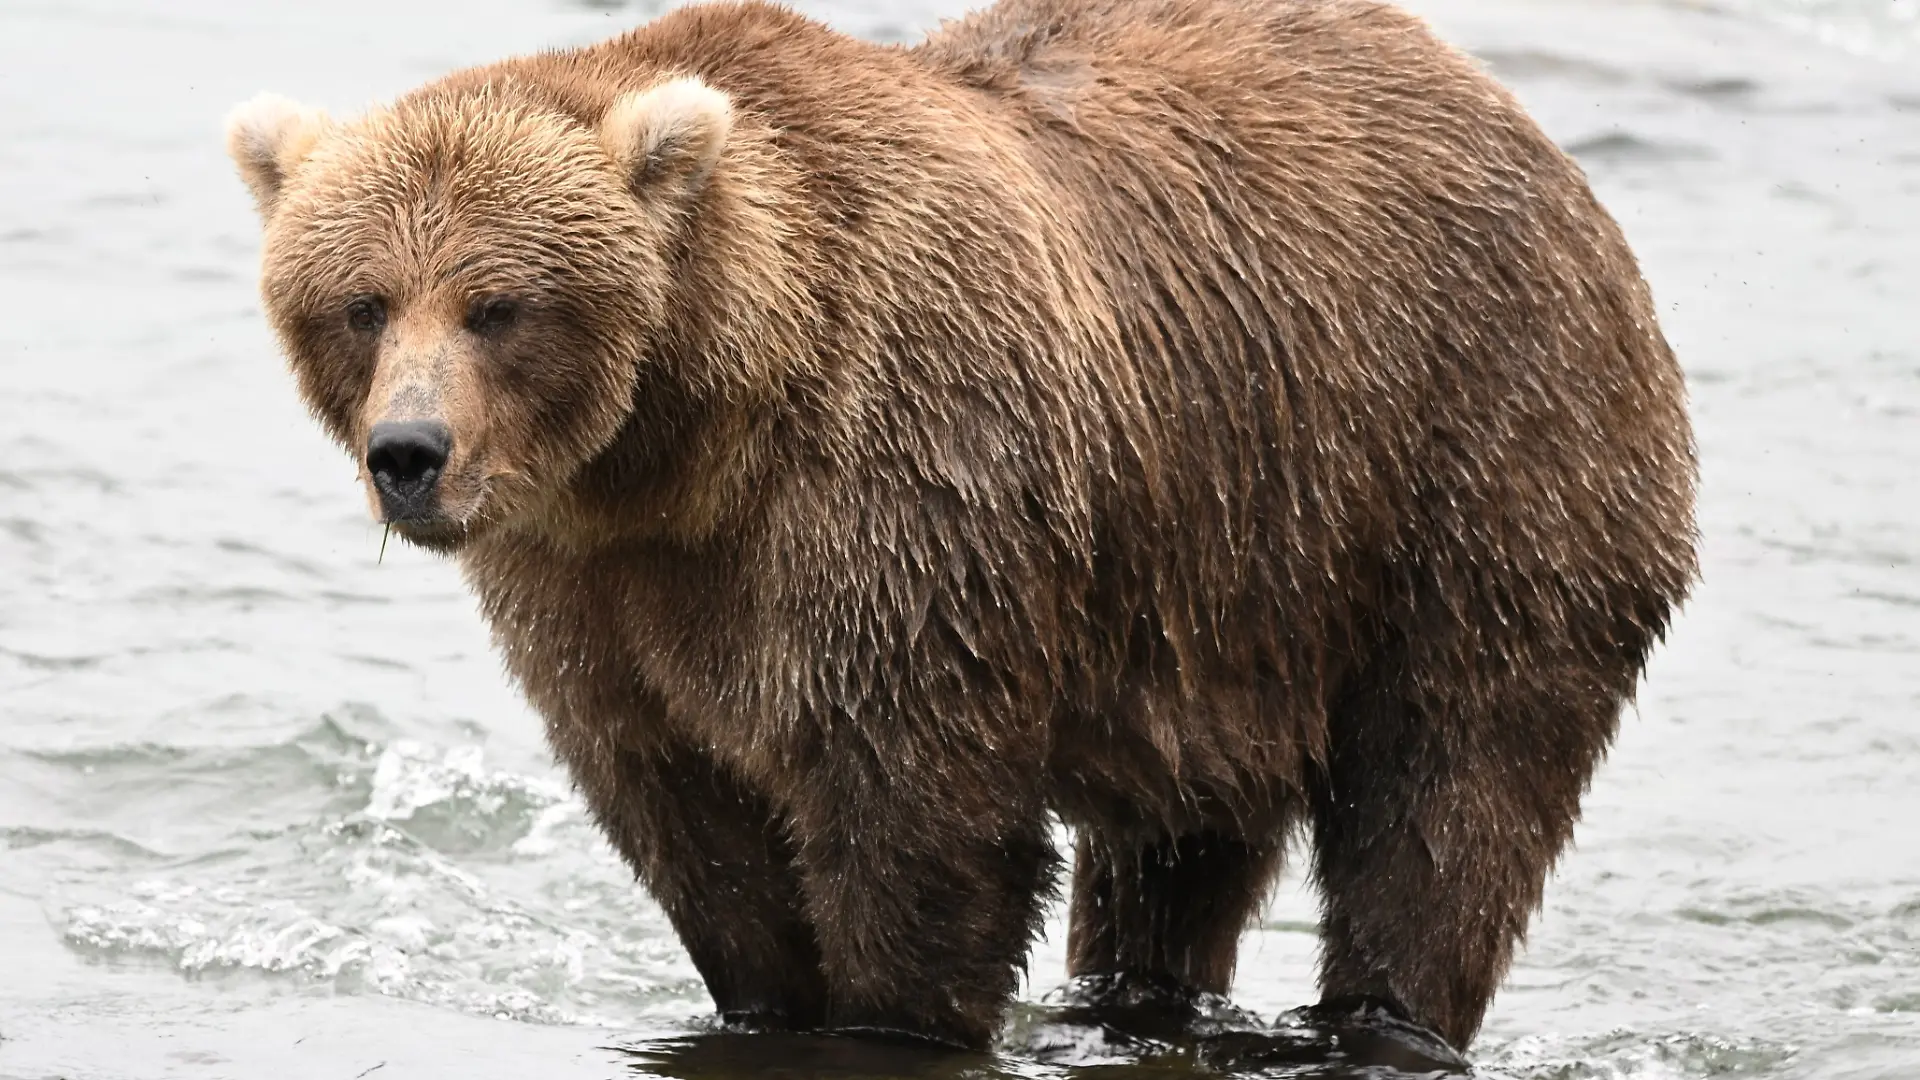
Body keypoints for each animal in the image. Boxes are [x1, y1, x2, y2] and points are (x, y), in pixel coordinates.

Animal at [225, 0, 1698, 1053]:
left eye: (498, 305)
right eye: (362, 300)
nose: (410, 455)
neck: (689, 444)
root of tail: (1519, 120)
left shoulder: (901, 491)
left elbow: (916, 818)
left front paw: (891, 1009)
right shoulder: (593, 586)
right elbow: (688, 818)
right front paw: (763, 993)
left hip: (1474, 462)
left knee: (1450, 790)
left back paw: (1383, 1010)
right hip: (1231, 574)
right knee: (1179, 840)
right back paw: (1134, 1001)